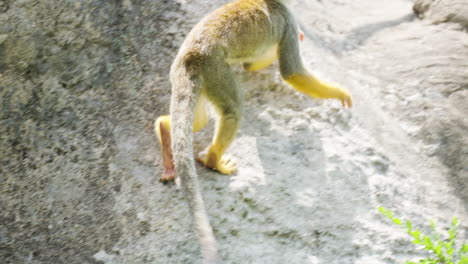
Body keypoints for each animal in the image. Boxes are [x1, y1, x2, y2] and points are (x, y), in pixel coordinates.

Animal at [154, 1, 352, 262]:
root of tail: (191, 55)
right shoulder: (288, 20)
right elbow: (291, 72)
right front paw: (339, 92)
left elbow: (251, 64)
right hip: (215, 69)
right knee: (232, 110)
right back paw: (213, 161)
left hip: (187, 74)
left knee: (199, 119)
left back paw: (165, 132)